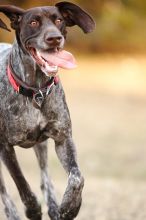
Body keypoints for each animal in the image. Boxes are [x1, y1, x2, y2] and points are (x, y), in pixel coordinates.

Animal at [0, 2, 95, 220]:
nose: (54, 38)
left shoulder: (63, 139)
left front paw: (70, 206)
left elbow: (77, 177)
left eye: (58, 20)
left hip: (41, 145)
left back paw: (52, 205)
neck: (36, 91)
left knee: (45, 174)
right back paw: (13, 213)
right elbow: (21, 183)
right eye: (33, 22)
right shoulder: (5, 147)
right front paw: (33, 209)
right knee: (4, 190)